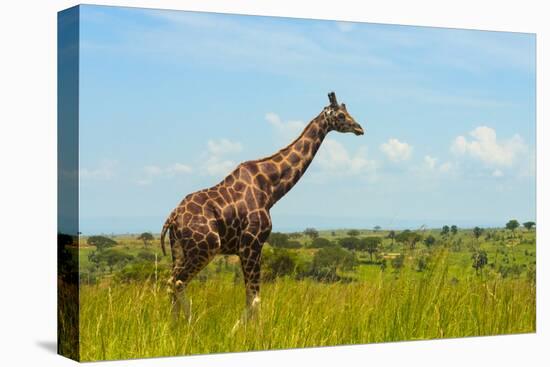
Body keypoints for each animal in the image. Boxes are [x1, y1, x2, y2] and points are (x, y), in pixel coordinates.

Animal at [160, 93, 366, 330]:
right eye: (341, 115)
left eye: (348, 112)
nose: (360, 128)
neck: (269, 189)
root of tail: (173, 217)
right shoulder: (251, 244)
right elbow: (255, 297)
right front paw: (245, 332)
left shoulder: (248, 248)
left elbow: (250, 296)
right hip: (206, 247)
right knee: (178, 281)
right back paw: (192, 324)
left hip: (179, 250)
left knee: (171, 282)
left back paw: (173, 326)